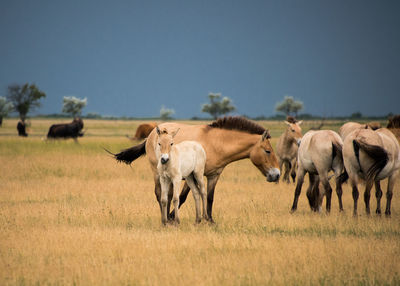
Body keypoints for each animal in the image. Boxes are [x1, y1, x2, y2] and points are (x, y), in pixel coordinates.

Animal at [108, 115, 278, 221]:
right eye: (268, 151)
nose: (276, 174)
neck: (216, 142)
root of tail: (150, 135)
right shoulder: (194, 174)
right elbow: (183, 197)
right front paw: (172, 217)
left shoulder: (213, 176)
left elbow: (209, 197)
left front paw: (210, 220)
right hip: (157, 174)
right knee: (159, 194)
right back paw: (164, 217)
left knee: (168, 195)